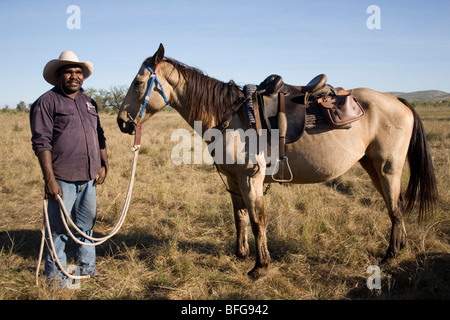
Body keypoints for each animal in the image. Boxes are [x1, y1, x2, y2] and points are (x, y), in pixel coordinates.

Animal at [116, 42, 436, 278]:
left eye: (139, 82)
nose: (121, 122)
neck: (230, 116)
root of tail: (397, 100)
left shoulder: (251, 178)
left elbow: (258, 219)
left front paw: (260, 266)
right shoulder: (234, 180)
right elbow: (240, 217)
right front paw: (241, 254)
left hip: (388, 168)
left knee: (395, 207)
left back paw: (391, 255)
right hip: (372, 166)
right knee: (396, 206)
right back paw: (399, 248)